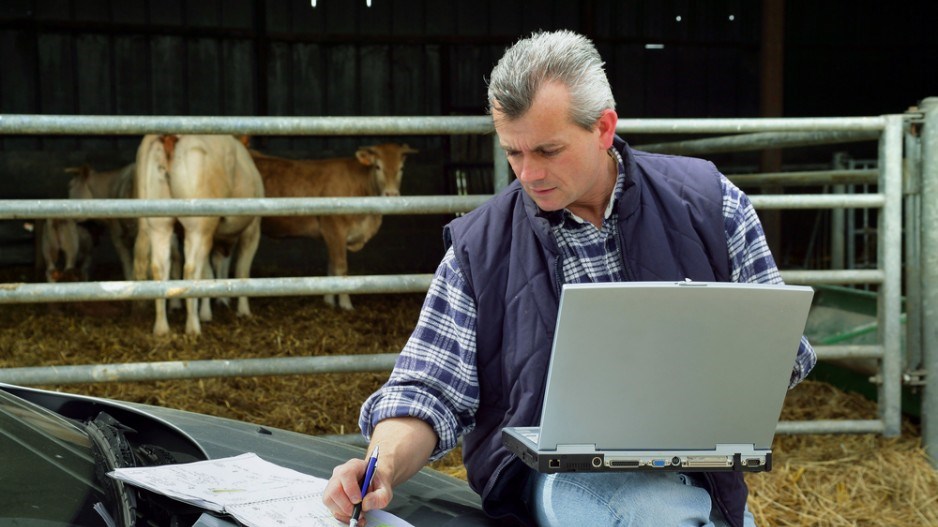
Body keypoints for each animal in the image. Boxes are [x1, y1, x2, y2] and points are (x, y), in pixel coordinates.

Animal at [132, 134, 266, 336]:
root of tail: (169, 137)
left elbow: (211, 270)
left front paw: (210, 309)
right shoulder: (252, 227)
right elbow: (242, 270)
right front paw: (243, 310)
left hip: (160, 224)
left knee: (159, 268)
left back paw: (162, 328)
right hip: (198, 225)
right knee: (191, 269)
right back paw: (193, 326)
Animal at [249, 142, 416, 312]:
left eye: (401, 168)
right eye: (377, 166)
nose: (391, 194)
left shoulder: (331, 236)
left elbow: (331, 268)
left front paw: (329, 302)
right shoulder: (335, 230)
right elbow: (341, 268)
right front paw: (346, 305)